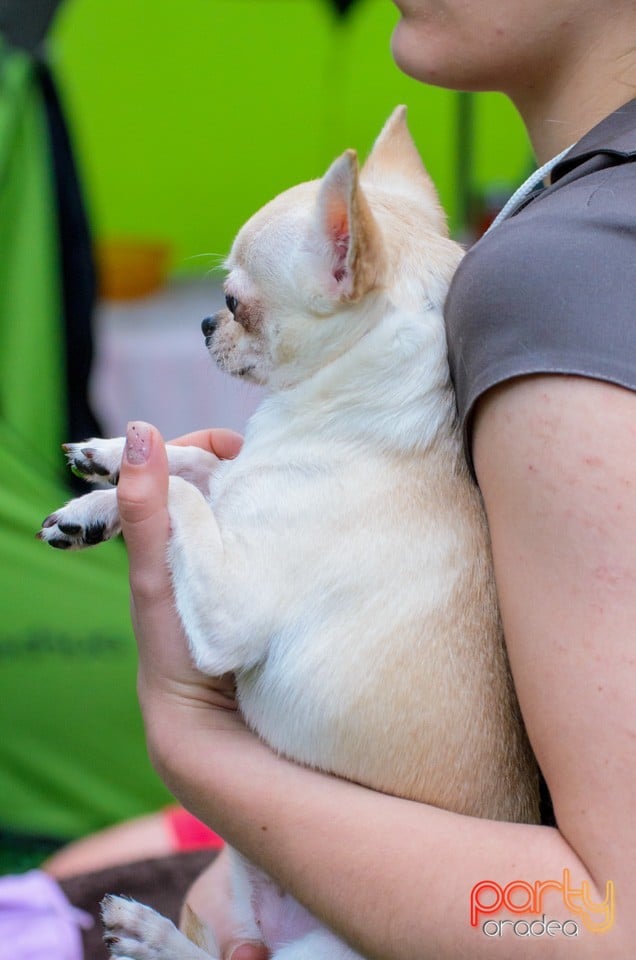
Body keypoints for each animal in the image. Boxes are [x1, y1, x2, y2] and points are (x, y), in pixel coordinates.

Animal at [38, 109, 536, 956]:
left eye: (236, 303)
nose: (205, 319)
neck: (343, 411)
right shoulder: (238, 480)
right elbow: (199, 461)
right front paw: (101, 477)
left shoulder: (232, 602)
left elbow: (181, 487)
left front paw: (127, 479)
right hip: (241, 893)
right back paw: (149, 931)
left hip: (325, 944)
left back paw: (147, 932)